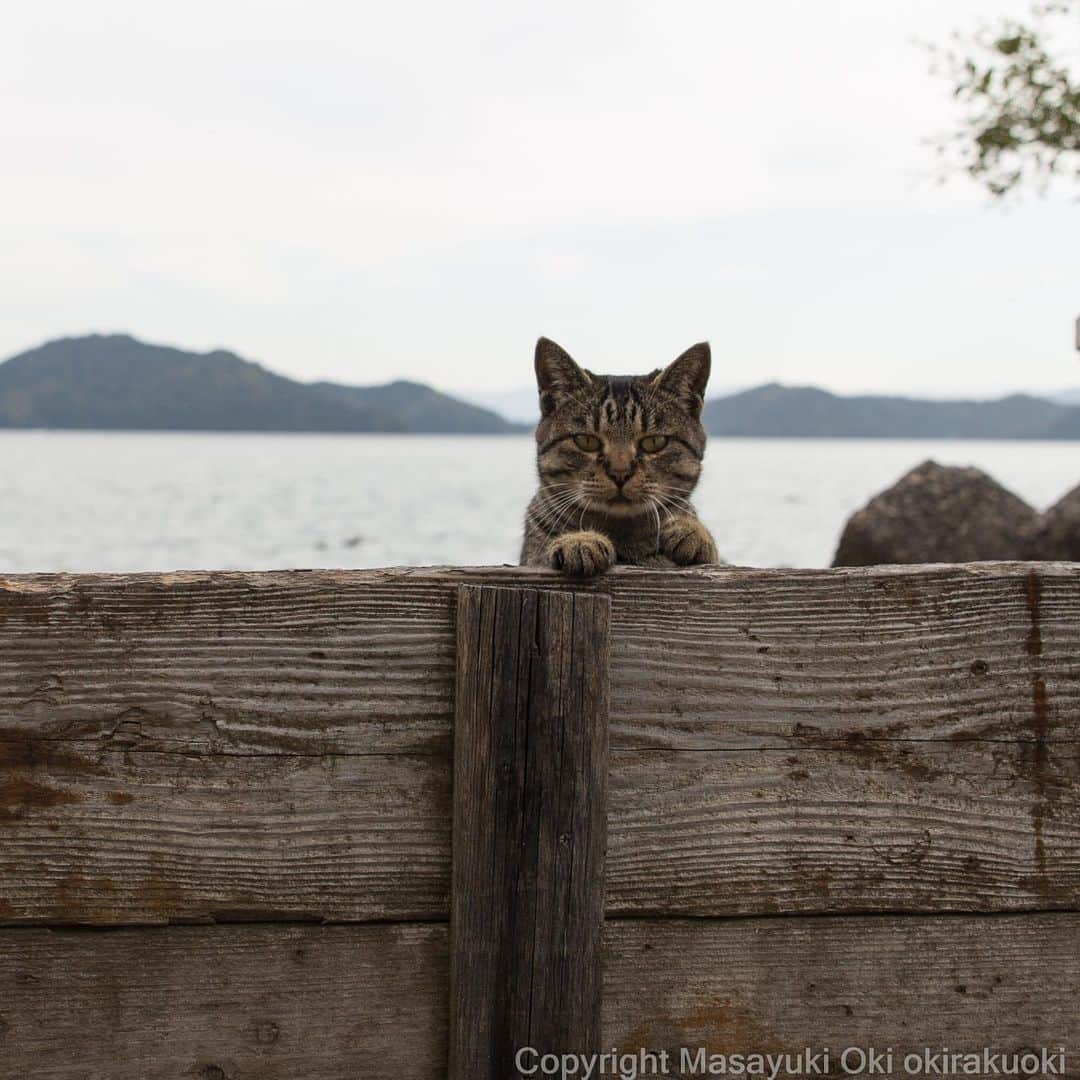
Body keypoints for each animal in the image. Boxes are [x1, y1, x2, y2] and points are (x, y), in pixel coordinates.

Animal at [520, 336, 717, 578]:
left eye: (654, 442)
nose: (620, 472)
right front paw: (580, 540)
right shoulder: (531, 558)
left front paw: (693, 530)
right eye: (586, 441)